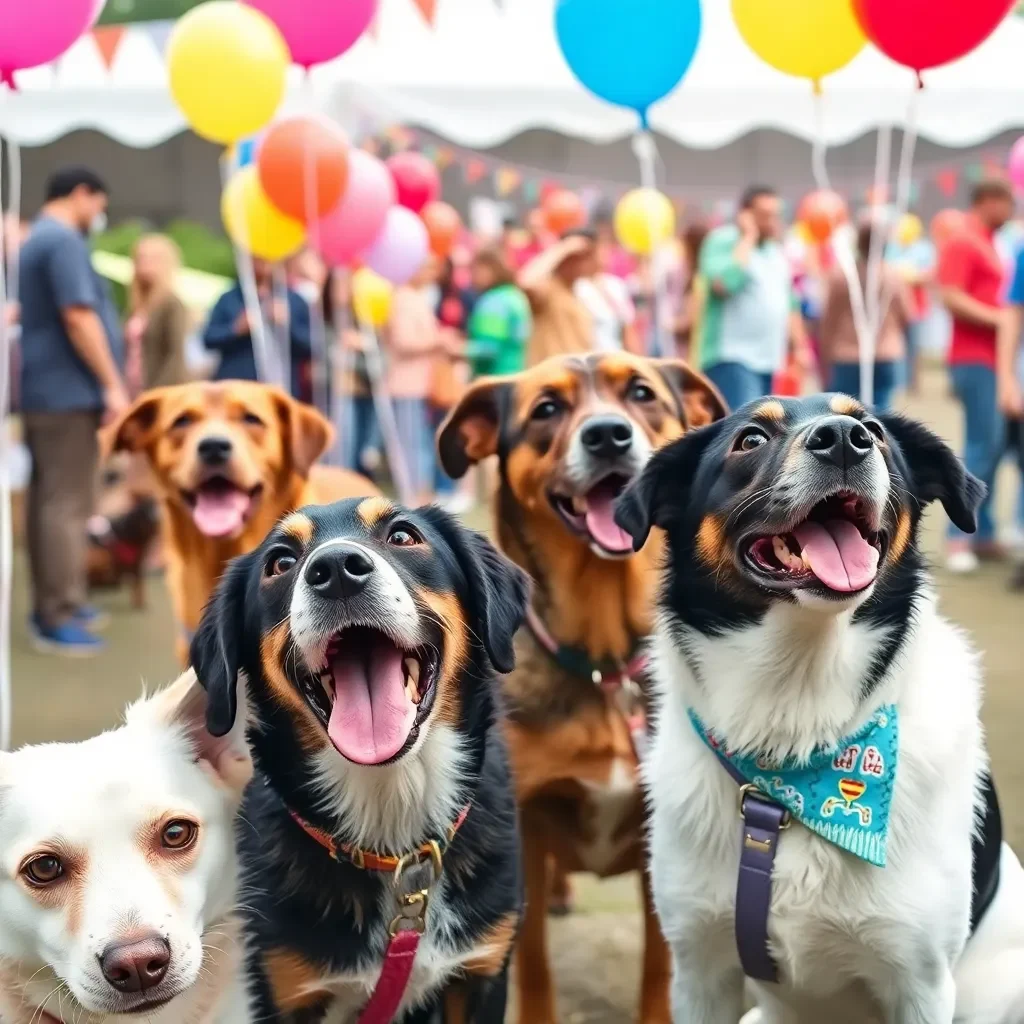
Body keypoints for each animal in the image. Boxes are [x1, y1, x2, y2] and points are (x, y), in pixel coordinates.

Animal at [440, 348, 729, 1019]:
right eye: (547, 408)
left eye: (642, 394)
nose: (608, 436)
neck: (603, 663)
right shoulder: (521, 824)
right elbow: (533, 959)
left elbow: (659, 963)